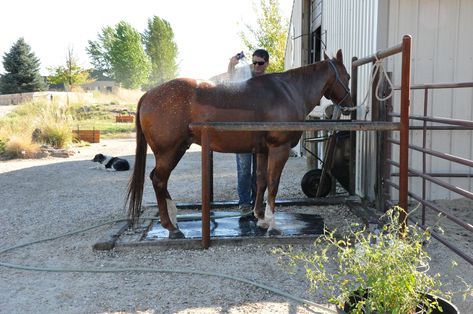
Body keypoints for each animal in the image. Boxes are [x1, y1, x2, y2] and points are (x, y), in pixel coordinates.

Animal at [125, 49, 350, 238]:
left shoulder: (262, 151)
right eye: (347, 76)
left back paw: (173, 218)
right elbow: (273, 183)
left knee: (159, 180)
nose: (350, 104)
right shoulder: (279, 149)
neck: (289, 91)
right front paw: (272, 223)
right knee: (159, 180)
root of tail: (148, 95)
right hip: (170, 151)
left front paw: (260, 218)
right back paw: (170, 226)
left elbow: (261, 181)